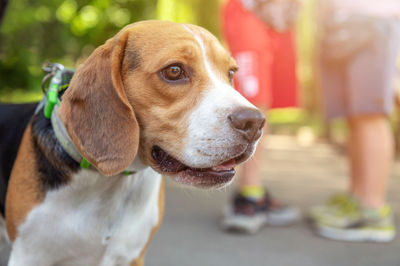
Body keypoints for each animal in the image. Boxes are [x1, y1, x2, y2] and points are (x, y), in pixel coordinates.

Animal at [3, 20, 266, 266]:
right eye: (174, 71)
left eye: (231, 73)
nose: (255, 123)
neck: (109, 182)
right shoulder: (29, 256)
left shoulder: (131, 256)